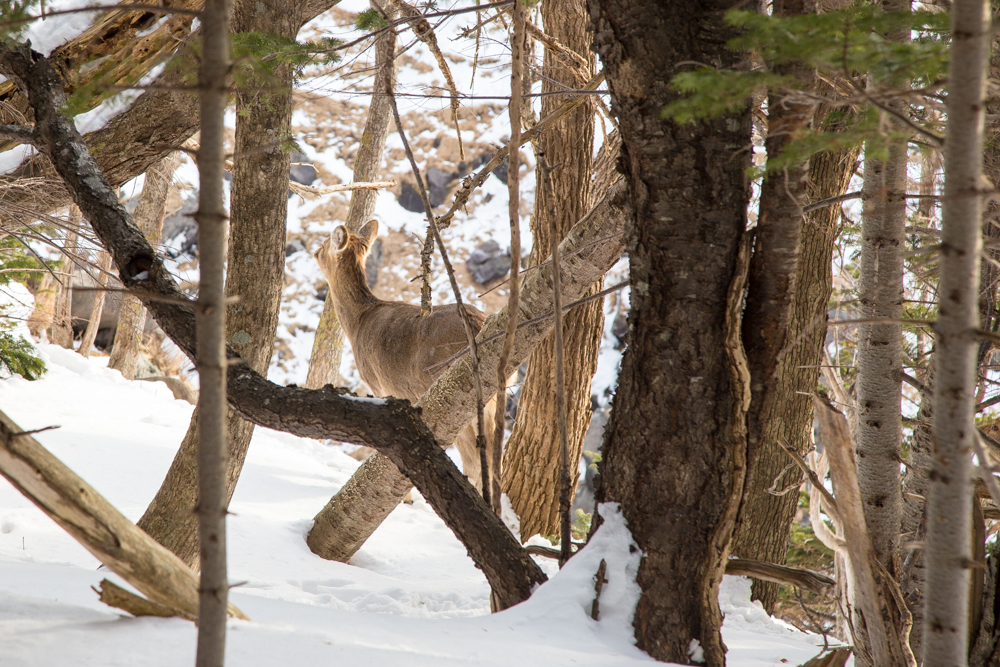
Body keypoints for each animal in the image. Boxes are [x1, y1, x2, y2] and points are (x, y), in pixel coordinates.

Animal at [312, 220, 496, 496]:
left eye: (325, 244)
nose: (314, 251)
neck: (358, 324)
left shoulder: (379, 385)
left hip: (457, 390)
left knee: (474, 460)